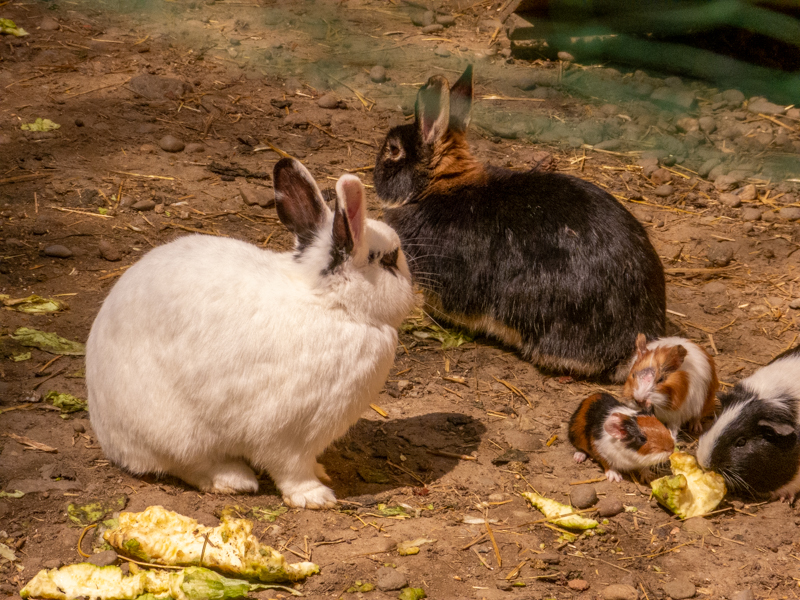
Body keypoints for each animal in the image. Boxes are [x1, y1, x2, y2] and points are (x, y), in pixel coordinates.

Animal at [86, 158, 415, 509]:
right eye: (390, 260)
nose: (413, 287)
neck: (331, 304)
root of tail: (108, 436)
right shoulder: (288, 433)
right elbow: (291, 469)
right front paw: (315, 497)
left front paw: (321, 472)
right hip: (177, 431)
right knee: (189, 465)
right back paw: (235, 480)